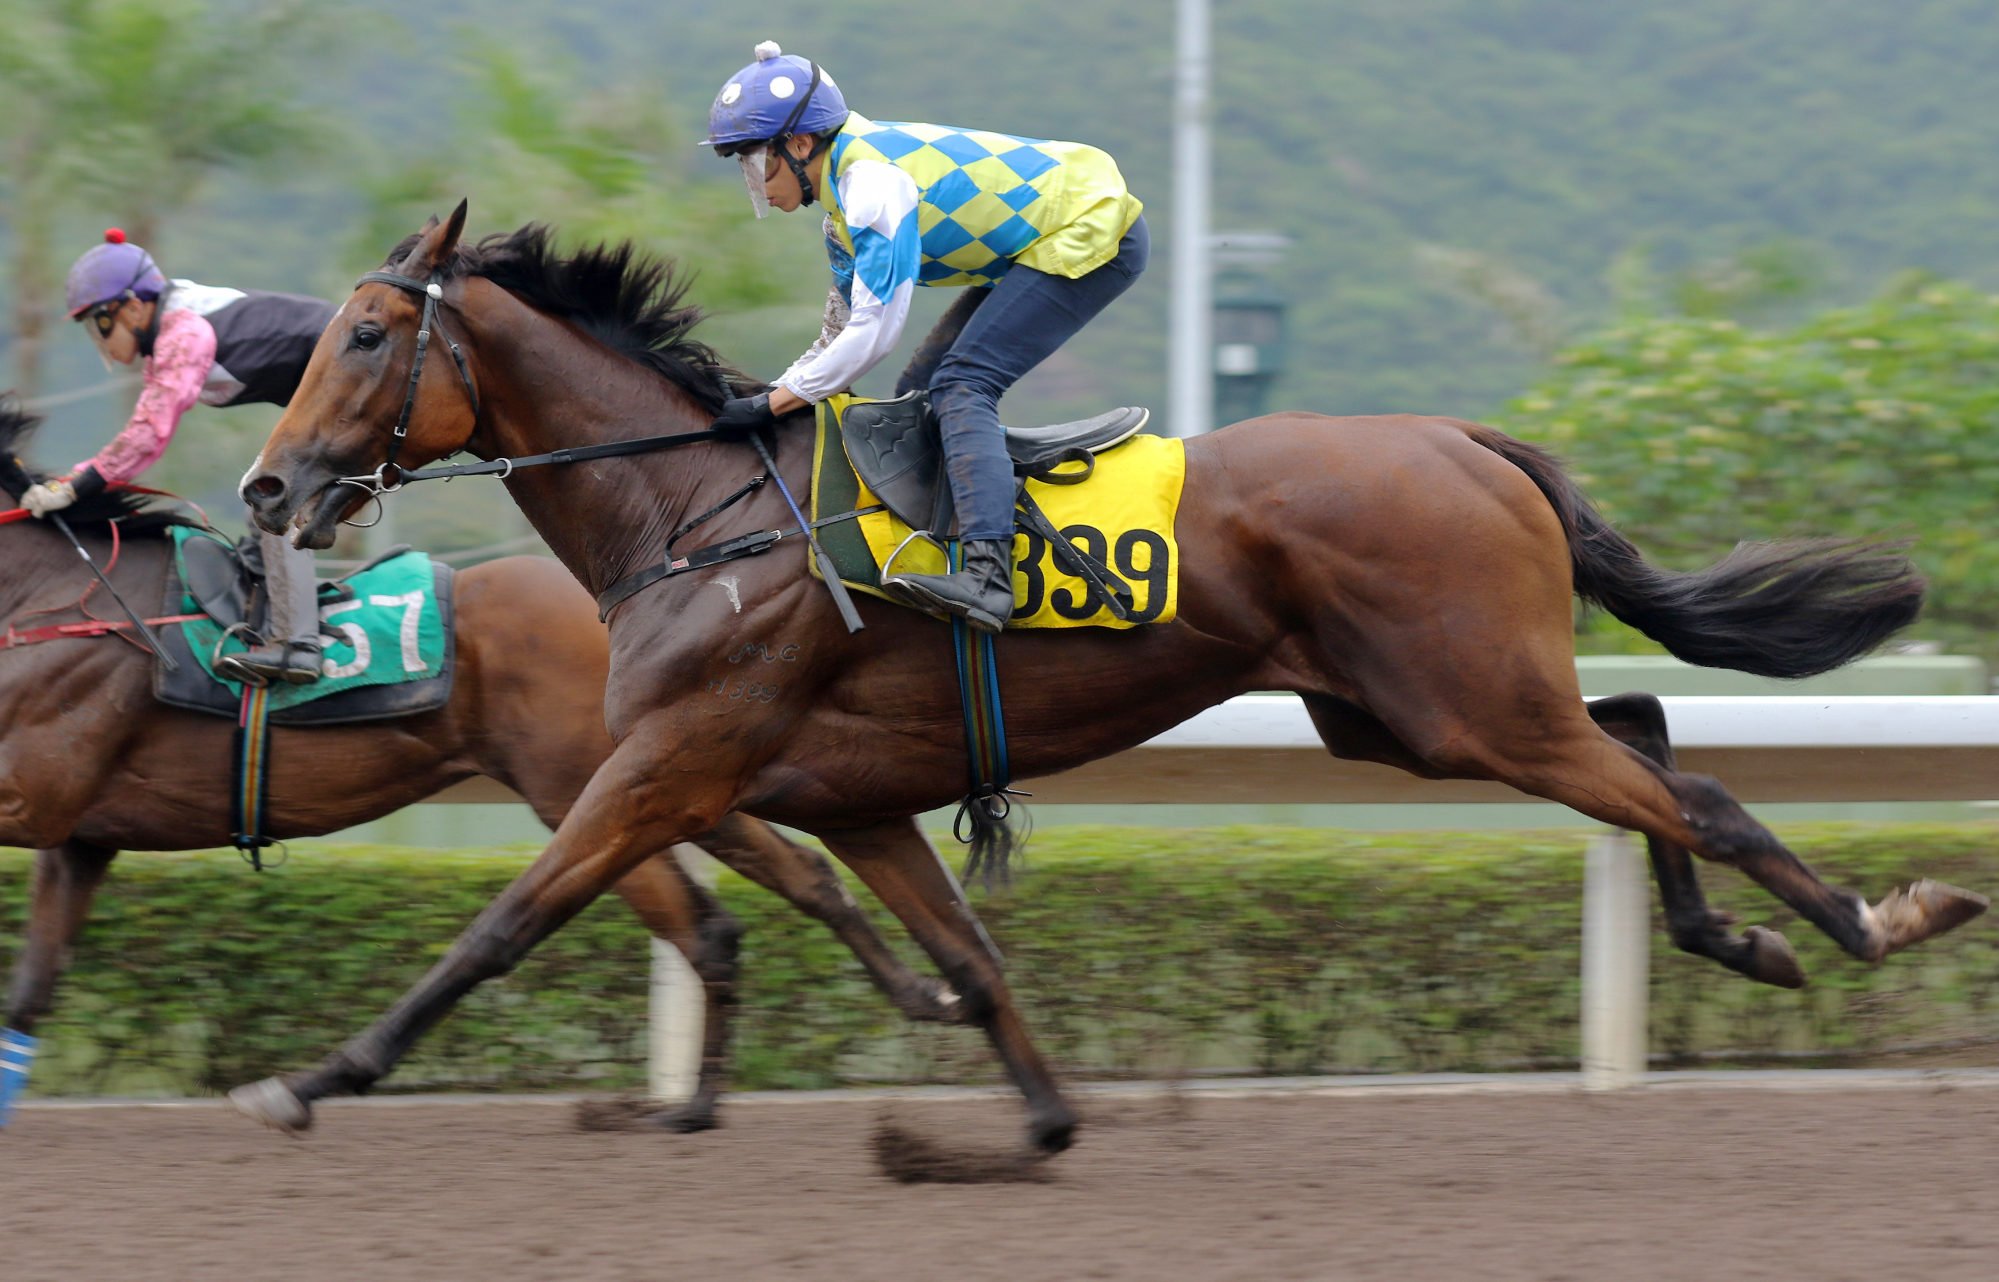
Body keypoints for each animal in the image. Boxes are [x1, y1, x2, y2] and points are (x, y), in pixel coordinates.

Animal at [0, 396, 959, 1128]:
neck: (51, 598)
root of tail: (627, 595)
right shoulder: (78, 837)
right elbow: (30, 992)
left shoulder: (37, 796)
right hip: (666, 779)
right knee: (775, 893)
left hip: (601, 786)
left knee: (714, 918)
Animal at [233, 208, 1983, 1152]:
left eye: (369, 333)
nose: (267, 487)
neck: (700, 517)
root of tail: (1461, 436)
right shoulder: (853, 797)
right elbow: (965, 950)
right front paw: (1044, 1115)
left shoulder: (665, 765)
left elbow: (505, 920)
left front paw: (318, 1075)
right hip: (1412, 714)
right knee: (1642, 738)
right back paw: (1739, 933)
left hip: (1466, 703)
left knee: (1689, 788)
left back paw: (1862, 916)